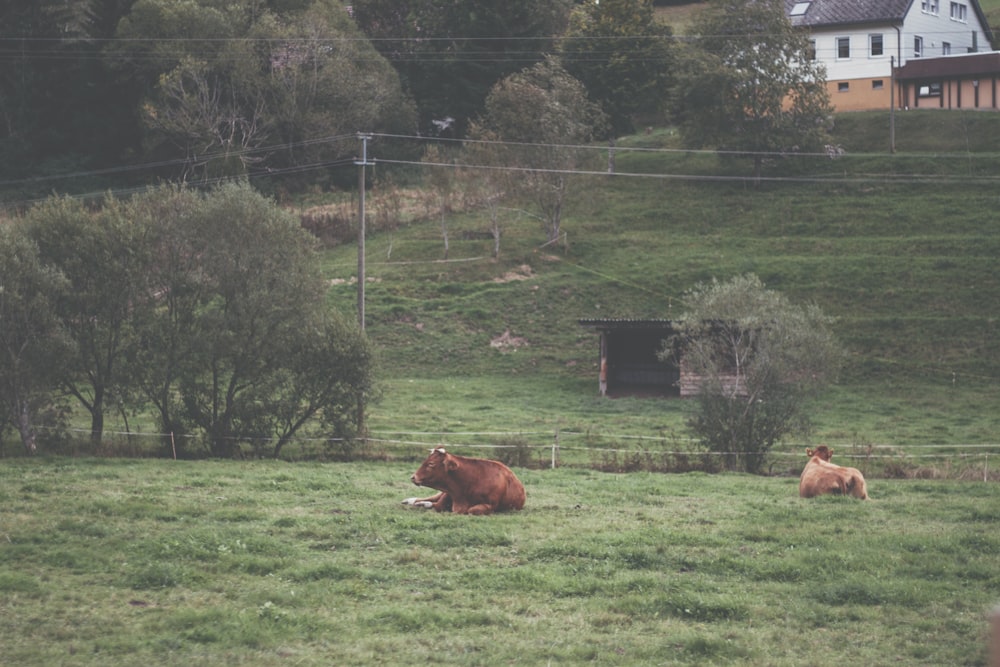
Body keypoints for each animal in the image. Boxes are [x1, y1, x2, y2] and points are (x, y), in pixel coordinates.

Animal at [400, 448, 528, 516]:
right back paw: (409, 501)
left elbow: (471, 510)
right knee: (427, 499)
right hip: (442, 494)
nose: (413, 477)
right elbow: (437, 505)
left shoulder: (489, 506)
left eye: (431, 464)